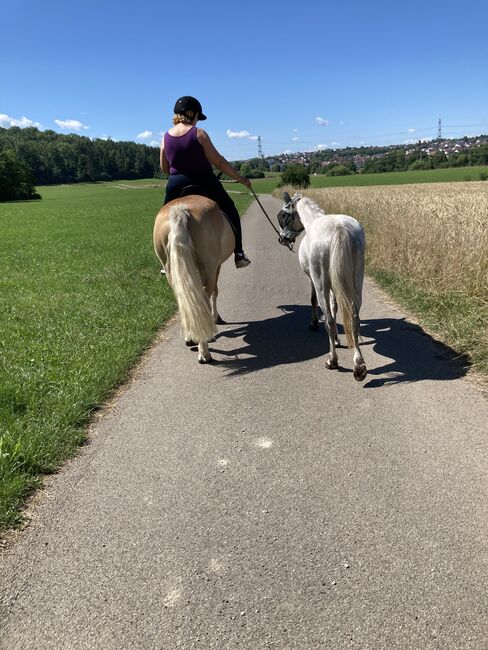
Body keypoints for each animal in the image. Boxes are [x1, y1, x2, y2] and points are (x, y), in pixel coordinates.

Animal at [153, 192, 235, 364]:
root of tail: (180, 210)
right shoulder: (216, 267)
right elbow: (215, 292)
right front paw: (215, 318)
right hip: (209, 268)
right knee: (202, 299)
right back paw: (204, 352)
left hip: (171, 270)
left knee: (184, 300)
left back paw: (190, 337)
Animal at [278, 190, 366, 378]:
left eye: (283, 215)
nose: (282, 239)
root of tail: (339, 228)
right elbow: (335, 306)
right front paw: (338, 340)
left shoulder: (313, 279)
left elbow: (314, 301)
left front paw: (313, 323)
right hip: (357, 281)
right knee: (354, 318)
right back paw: (359, 365)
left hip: (320, 283)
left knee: (329, 321)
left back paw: (332, 360)